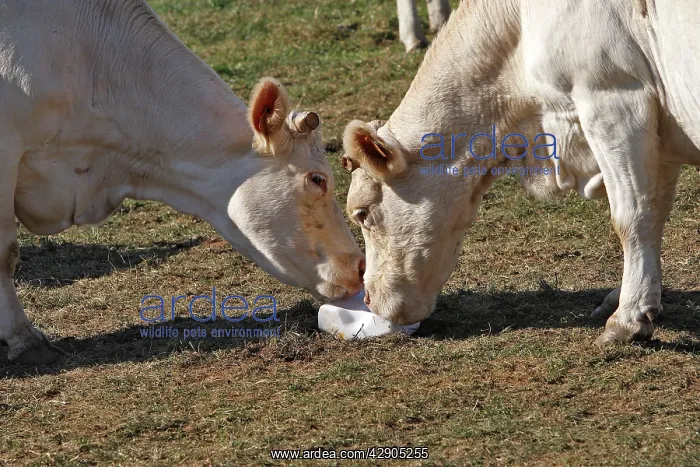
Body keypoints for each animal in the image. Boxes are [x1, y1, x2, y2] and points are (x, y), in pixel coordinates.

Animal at [342, 0, 700, 344]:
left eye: (362, 213)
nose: (369, 300)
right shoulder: (661, 137)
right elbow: (656, 213)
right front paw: (635, 299)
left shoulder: (614, 102)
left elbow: (632, 218)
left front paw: (627, 318)